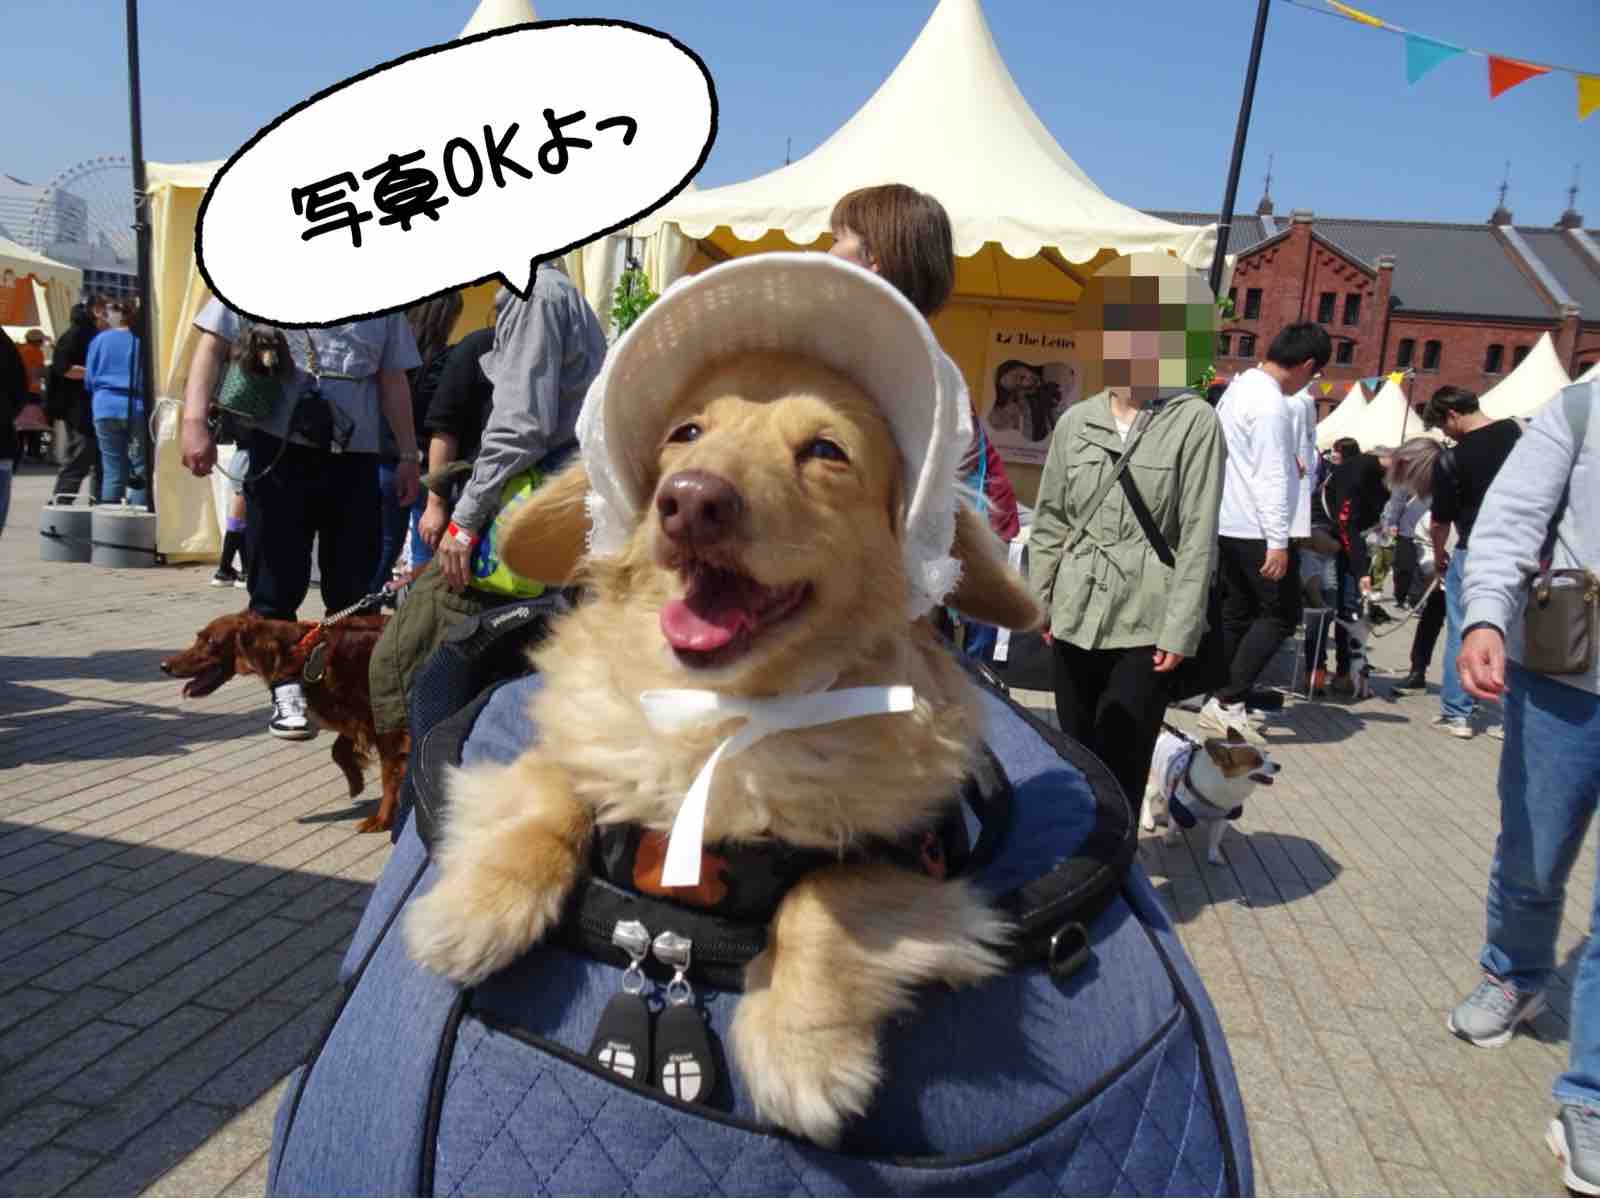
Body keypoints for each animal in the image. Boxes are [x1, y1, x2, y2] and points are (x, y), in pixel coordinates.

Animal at [161, 611, 409, 833]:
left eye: (212, 641)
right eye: (198, 637)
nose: (164, 665)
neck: (305, 653)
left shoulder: (385, 723)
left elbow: (389, 775)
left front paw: (381, 820)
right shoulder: (357, 719)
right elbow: (338, 750)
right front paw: (356, 781)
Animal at [401, 343, 1044, 1146]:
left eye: (827, 451)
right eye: (685, 434)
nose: (690, 500)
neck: (725, 715)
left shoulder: (915, 856)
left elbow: (822, 895)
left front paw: (801, 1050)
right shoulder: (575, 756)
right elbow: (551, 798)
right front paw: (474, 910)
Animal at [1140, 726, 1281, 865]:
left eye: (1266, 754)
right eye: (1257, 761)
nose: (1278, 766)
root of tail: (1164, 733)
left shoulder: (1221, 818)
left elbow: (1215, 839)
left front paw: (1214, 856)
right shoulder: (1182, 809)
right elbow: (1174, 825)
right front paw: (1169, 838)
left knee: (1167, 797)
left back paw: (1164, 816)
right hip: (1157, 781)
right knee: (1148, 796)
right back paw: (1148, 821)